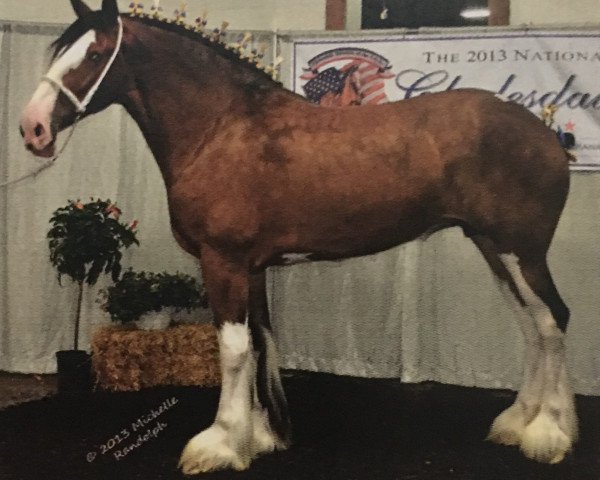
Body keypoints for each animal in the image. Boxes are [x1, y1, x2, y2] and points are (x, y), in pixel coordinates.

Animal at [21, 0, 580, 472]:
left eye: (94, 54)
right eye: (60, 52)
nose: (33, 129)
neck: (220, 129)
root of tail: (548, 134)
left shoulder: (223, 261)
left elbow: (233, 350)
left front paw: (220, 444)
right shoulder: (250, 267)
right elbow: (257, 344)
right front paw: (260, 436)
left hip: (520, 250)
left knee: (552, 320)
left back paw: (548, 433)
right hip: (493, 247)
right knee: (532, 325)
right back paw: (518, 422)